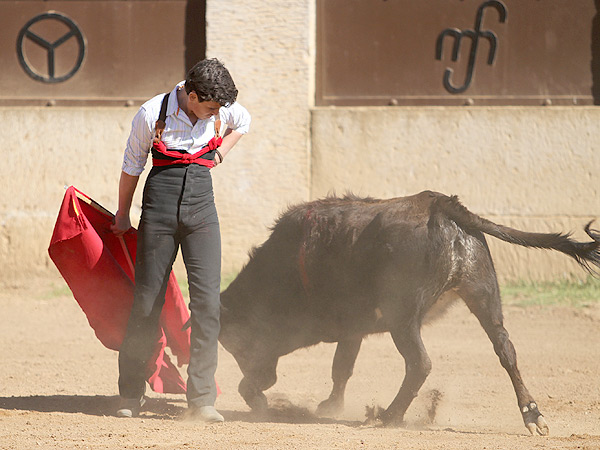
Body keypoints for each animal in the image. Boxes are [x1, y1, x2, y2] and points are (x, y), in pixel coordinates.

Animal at [219, 191, 600, 436]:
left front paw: (262, 401)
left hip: (403, 318)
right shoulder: (352, 329)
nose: (265, 378)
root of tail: (441, 204)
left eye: (235, 344)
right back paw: (532, 415)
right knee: (505, 349)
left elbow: (333, 367)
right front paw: (329, 405)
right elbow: (342, 367)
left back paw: (388, 416)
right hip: (482, 295)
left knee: (420, 363)